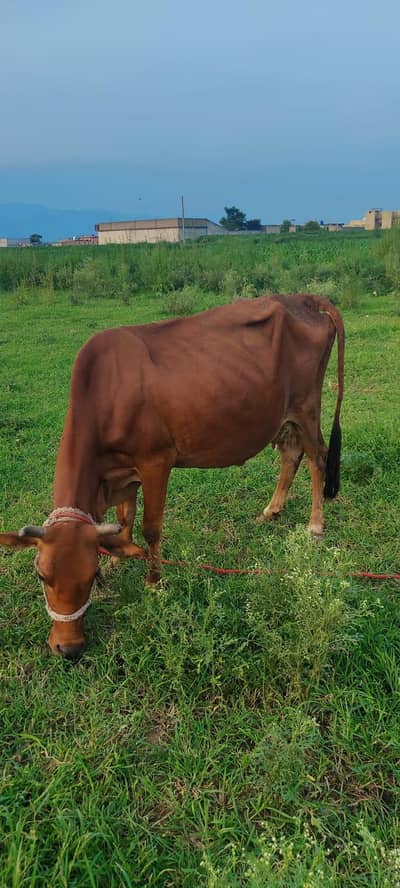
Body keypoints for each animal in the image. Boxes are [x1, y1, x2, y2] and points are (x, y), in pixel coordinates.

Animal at [0, 293, 344, 659]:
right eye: (41, 575)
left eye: (91, 576)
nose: (68, 648)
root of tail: (300, 299)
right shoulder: (123, 473)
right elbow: (125, 517)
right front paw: (120, 554)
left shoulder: (156, 461)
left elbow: (151, 527)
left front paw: (154, 582)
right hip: (283, 415)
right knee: (291, 453)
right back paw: (271, 510)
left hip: (307, 407)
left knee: (317, 457)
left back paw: (315, 524)